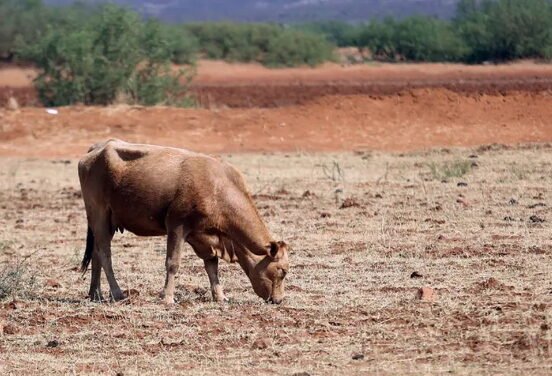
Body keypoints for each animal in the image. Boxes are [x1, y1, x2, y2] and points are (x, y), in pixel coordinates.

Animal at [79, 140, 292, 304]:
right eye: (282, 271)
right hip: (99, 214)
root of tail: (97, 148)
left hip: (105, 223)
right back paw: (117, 293)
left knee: (96, 254)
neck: (218, 188)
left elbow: (212, 266)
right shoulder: (177, 225)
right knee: (105, 254)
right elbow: (173, 263)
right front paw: (167, 297)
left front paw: (220, 296)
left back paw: (95, 293)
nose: (279, 300)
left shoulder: (203, 235)